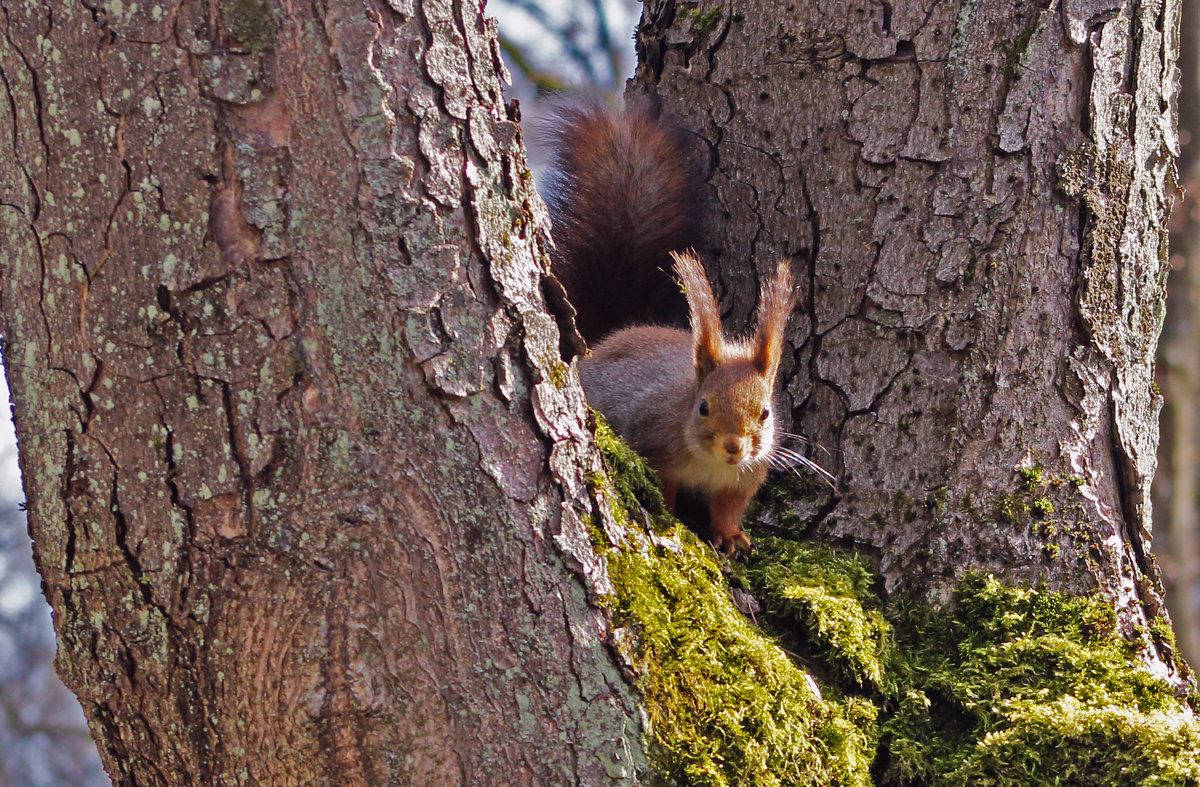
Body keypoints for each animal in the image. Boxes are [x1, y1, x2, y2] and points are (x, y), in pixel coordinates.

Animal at [544, 98, 796, 554]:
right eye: (703, 407)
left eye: (765, 412)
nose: (733, 446)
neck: (712, 462)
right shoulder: (654, 445)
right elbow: (663, 488)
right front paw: (673, 516)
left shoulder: (743, 478)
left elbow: (728, 508)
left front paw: (732, 537)